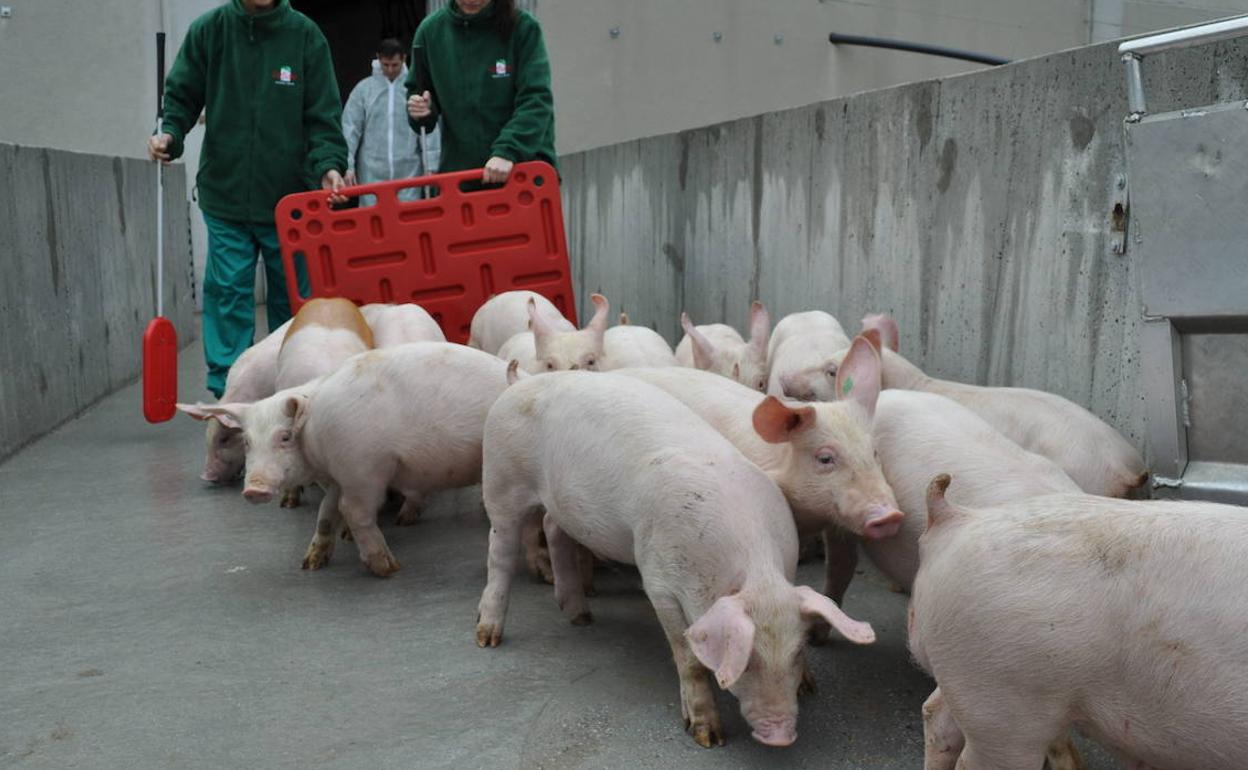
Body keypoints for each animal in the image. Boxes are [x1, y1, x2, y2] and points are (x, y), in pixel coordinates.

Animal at [175, 344, 506, 576]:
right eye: (247, 441)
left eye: (285, 436)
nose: (253, 489)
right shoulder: (348, 473)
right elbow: (334, 510)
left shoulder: (351, 472)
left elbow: (340, 511)